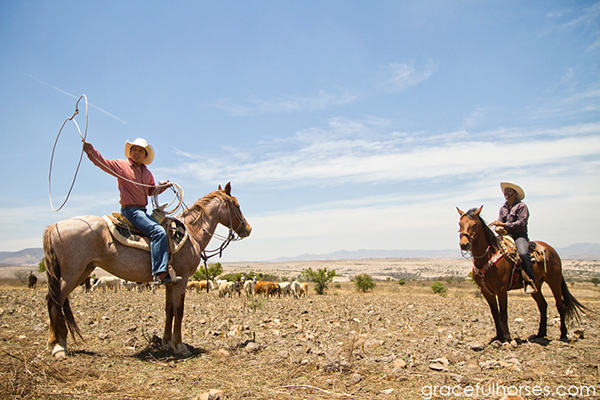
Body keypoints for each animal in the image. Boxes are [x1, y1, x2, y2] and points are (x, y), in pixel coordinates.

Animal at [44, 183, 250, 358]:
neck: (192, 234)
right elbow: (179, 311)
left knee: (57, 301)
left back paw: (60, 341)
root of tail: (54, 227)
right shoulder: (182, 280)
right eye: (237, 205)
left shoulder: (170, 282)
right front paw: (179, 346)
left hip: (83, 271)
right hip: (71, 273)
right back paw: (57, 346)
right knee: (54, 300)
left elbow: (169, 310)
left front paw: (167, 342)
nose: (248, 229)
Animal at [458, 206, 584, 344]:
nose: (464, 244)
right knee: (543, 305)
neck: (487, 256)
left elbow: (503, 313)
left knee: (560, 305)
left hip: (554, 281)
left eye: (474, 225)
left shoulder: (502, 290)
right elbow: (495, 314)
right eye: (460, 224)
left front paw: (507, 338)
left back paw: (563, 334)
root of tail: (552, 251)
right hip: (536, 285)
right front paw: (498, 337)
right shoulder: (487, 292)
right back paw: (540, 333)